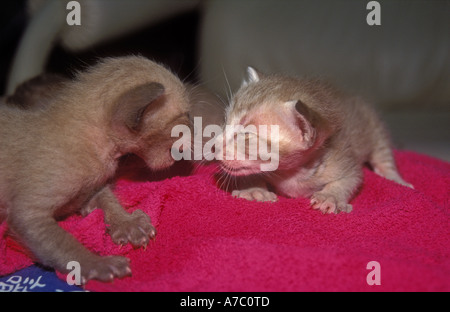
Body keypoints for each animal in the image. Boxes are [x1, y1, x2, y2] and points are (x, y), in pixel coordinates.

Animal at [0, 56, 191, 282]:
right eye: (184, 120)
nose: (196, 133)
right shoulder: (28, 216)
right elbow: (63, 243)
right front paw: (97, 263)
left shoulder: (91, 190)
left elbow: (109, 200)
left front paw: (127, 224)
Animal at [216, 67, 414, 214]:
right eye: (226, 121)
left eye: (247, 134)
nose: (214, 146)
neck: (293, 173)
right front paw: (253, 189)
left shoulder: (343, 159)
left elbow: (349, 179)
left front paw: (331, 196)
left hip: (374, 127)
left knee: (383, 156)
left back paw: (396, 179)